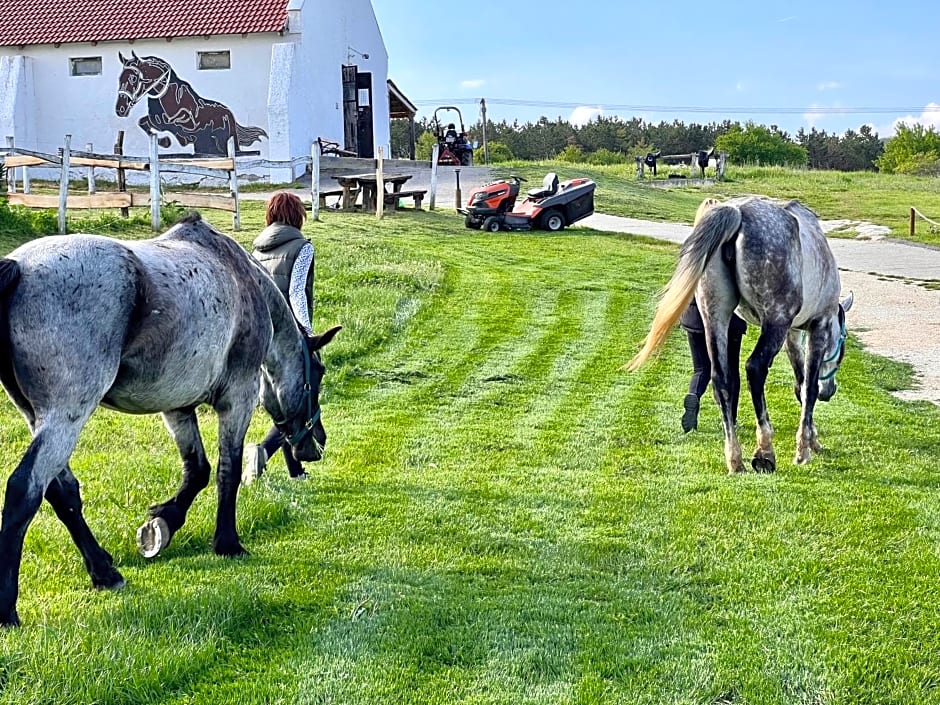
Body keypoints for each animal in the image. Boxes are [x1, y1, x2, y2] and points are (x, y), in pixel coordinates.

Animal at [0, 214, 342, 628]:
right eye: (318, 374)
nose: (316, 444)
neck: (243, 278)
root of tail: (19, 267)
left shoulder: (176, 406)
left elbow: (197, 470)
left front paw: (163, 522)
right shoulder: (238, 399)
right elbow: (227, 470)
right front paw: (227, 542)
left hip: (38, 417)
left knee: (61, 492)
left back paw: (105, 572)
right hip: (66, 416)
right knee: (24, 489)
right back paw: (8, 609)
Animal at [116, 52, 268, 155]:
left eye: (134, 78)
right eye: (120, 78)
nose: (120, 109)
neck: (165, 96)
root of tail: (230, 114)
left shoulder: (190, 123)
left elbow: (173, 123)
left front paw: (177, 139)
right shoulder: (154, 120)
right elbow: (143, 122)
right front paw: (165, 141)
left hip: (225, 141)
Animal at [632, 195, 852, 472]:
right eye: (842, 350)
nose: (829, 391)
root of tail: (737, 212)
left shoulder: (791, 335)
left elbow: (799, 384)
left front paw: (812, 439)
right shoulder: (816, 327)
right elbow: (808, 388)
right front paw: (803, 450)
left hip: (716, 318)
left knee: (721, 381)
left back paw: (735, 459)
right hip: (774, 322)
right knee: (754, 369)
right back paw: (764, 451)